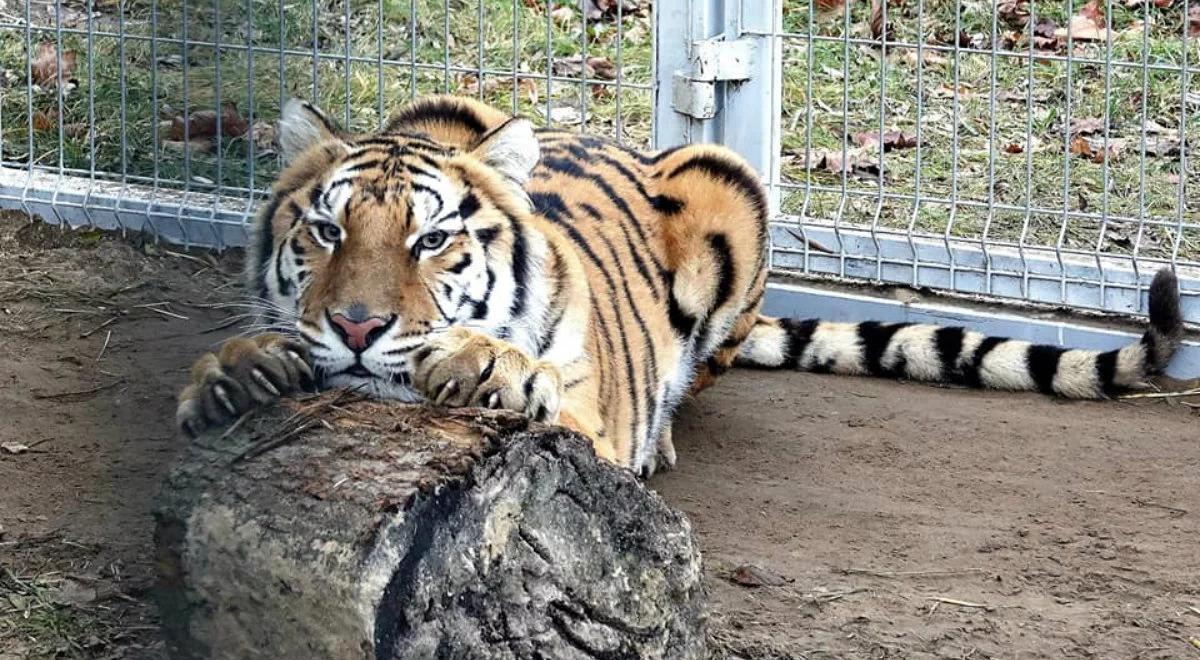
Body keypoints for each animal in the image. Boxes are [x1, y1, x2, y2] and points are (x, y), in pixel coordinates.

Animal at [174, 94, 1185, 475]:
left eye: (432, 239)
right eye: (328, 229)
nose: (354, 327)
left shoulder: (593, 426)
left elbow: (545, 393)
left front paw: (485, 367)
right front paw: (238, 369)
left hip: (732, 184)